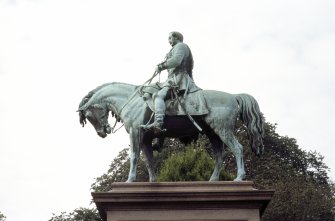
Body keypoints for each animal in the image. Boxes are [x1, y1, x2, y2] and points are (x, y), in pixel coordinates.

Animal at [78, 82, 266, 182]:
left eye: (89, 115)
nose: (102, 132)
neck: (130, 100)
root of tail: (234, 96)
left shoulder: (135, 133)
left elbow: (134, 156)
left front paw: (130, 180)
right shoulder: (145, 138)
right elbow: (149, 160)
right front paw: (152, 182)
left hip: (223, 130)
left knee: (238, 149)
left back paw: (239, 177)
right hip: (214, 134)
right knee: (220, 156)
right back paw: (213, 180)